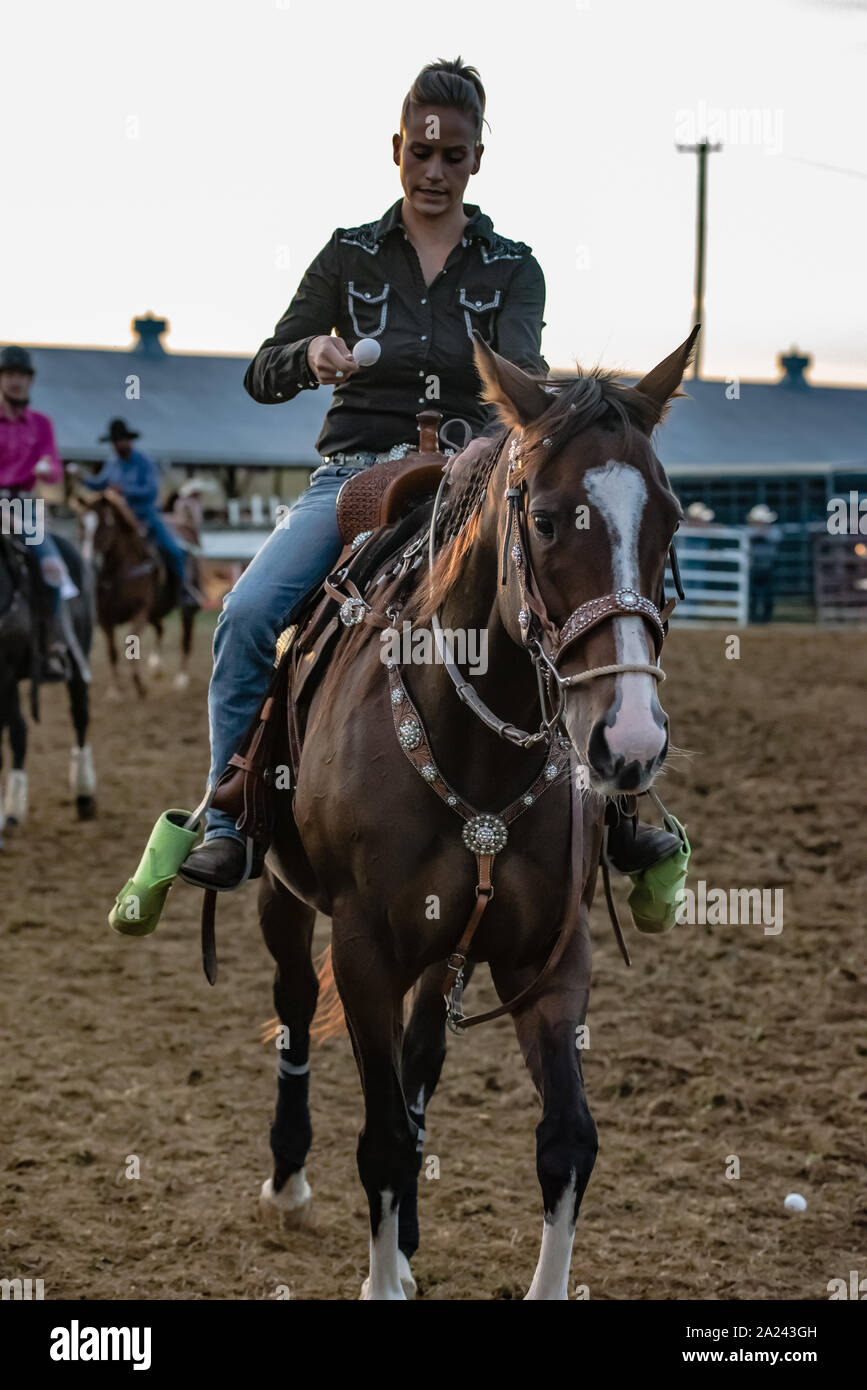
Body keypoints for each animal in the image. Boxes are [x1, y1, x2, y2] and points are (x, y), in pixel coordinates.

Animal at [0, 525, 95, 839]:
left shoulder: (5, 672)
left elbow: (15, 733)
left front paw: (11, 812)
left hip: (78, 660)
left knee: (80, 716)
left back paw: (84, 795)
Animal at [74, 492, 198, 706]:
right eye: (82, 525)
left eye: (103, 525)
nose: (88, 563)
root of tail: (184, 523)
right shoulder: (104, 618)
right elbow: (112, 652)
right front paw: (115, 690)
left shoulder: (140, 610)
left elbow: (130, 646)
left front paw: (140, 687)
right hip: (155, 611)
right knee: (160, 628)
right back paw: (156, 667)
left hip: (184, 608)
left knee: (186, 637)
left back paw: (181, 679)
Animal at [252, 330, 697, 1295]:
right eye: (546, 520)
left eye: (671, 521)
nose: (629, 740)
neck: (478, 756)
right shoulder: (366, 952)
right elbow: (382, 1139)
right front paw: (381, 1271)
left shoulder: (549, 956)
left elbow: (565, 1141)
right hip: (281, 895)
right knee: (297, 1005)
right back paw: (288, 1178)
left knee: (422, 1063)